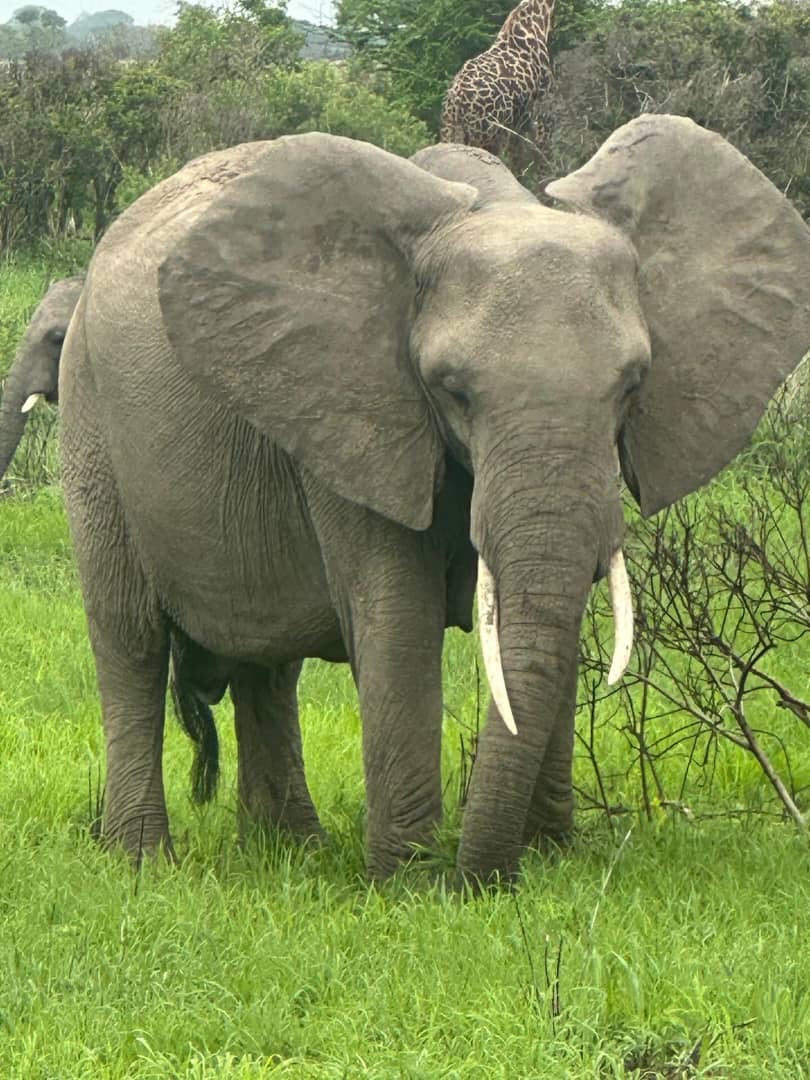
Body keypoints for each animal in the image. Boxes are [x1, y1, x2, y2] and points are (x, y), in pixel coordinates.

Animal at [57, 114, 810, 884]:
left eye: (632, 383)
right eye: (453, 390)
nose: (480, 881)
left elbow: (554, 615)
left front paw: (547, 864)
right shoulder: (357, 409)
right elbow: (398, 619)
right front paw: (409, 883)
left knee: (270, 668)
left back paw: (289, 852)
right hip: (89, 413)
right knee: (130, 639)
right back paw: (143, 862)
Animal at [439, 0, 555, 168]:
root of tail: (456, 102)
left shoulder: (519, 121)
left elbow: (517, 158)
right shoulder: (544, 108)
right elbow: (544, 158)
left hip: (450, 130)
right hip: (486, 134)